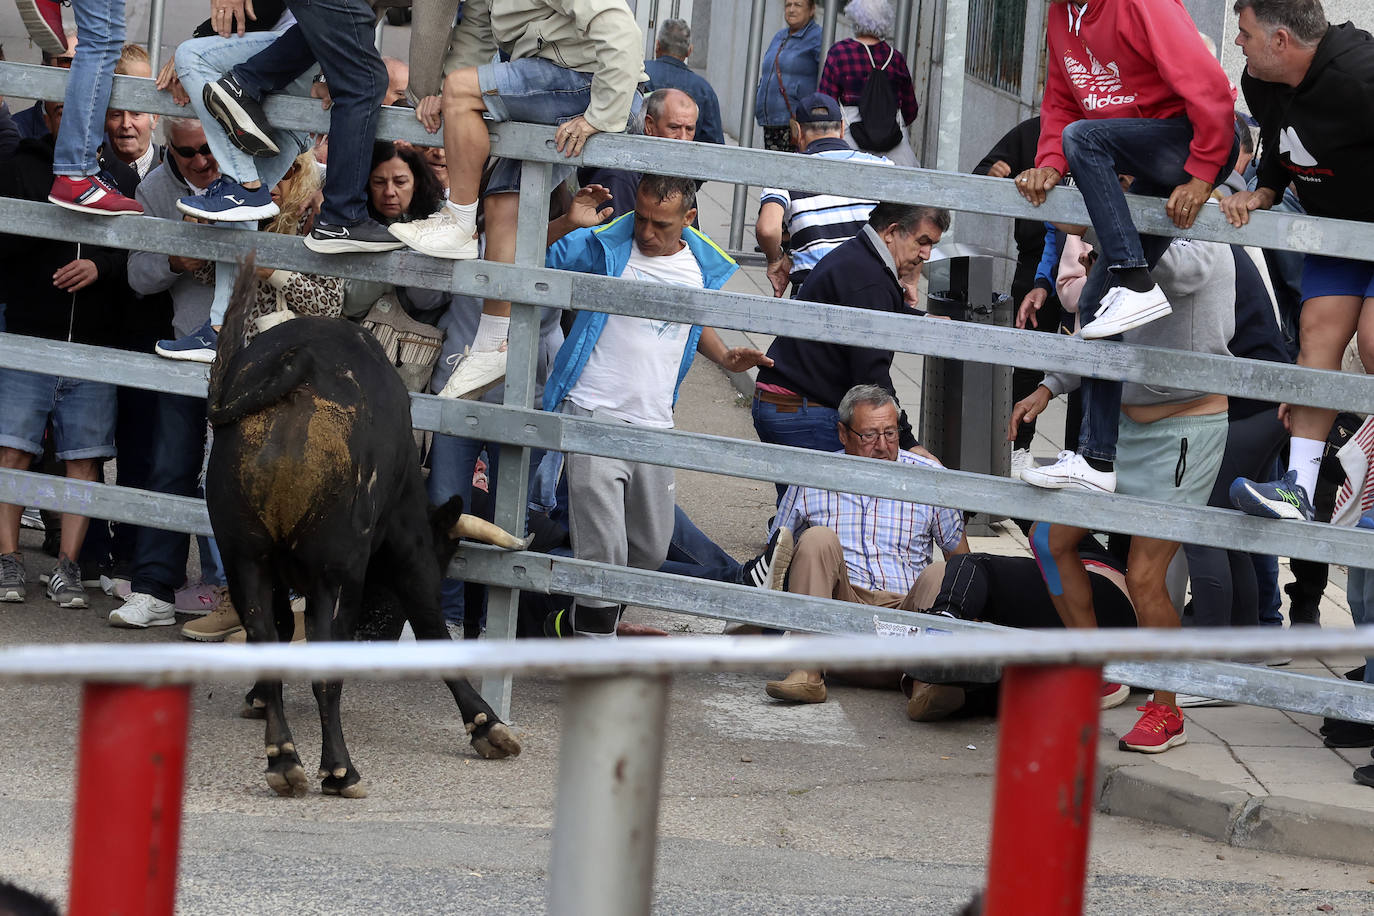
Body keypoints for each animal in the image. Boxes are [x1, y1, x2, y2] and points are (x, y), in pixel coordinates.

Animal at [204, 258, 519, 796]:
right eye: (443, 552)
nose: (377, 628)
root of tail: (296, 370)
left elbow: (280, 628)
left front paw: (259, 699)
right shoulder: (408, 553)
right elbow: (431, 624)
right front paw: (485, 723)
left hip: (243, 554)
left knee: (265, 634)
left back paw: (283, 757)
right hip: (337, 573)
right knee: (326, 666)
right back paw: (338, 768)